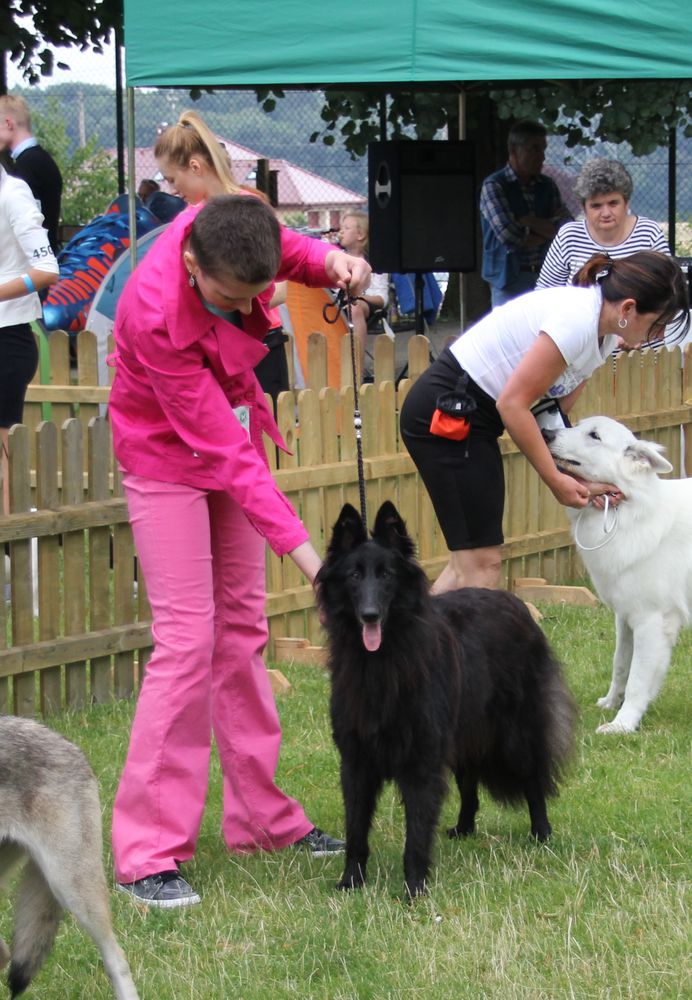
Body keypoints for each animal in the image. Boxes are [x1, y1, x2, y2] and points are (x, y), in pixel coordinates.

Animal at [316, 504, 576, 896]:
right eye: (354, 575)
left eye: (387, 574)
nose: (370, 615)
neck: (383, 660)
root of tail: (515, 601)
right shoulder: (356, 761)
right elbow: (356, 828)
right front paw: (351, 881)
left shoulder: (421, 761)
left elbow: (417, 832)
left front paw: (414, 888)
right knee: (469, 784)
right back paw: (465, 827)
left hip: (514, 734)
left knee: (533, 778)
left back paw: (541, 833)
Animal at [544, 414, 688, 736]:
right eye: (577, 425)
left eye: (594, 435)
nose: (545, 433)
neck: (630, 510)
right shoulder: (625, 618)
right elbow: (621, 664)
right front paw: (611, 703)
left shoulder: (650, 621)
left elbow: (637, 679)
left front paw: (623, 723)